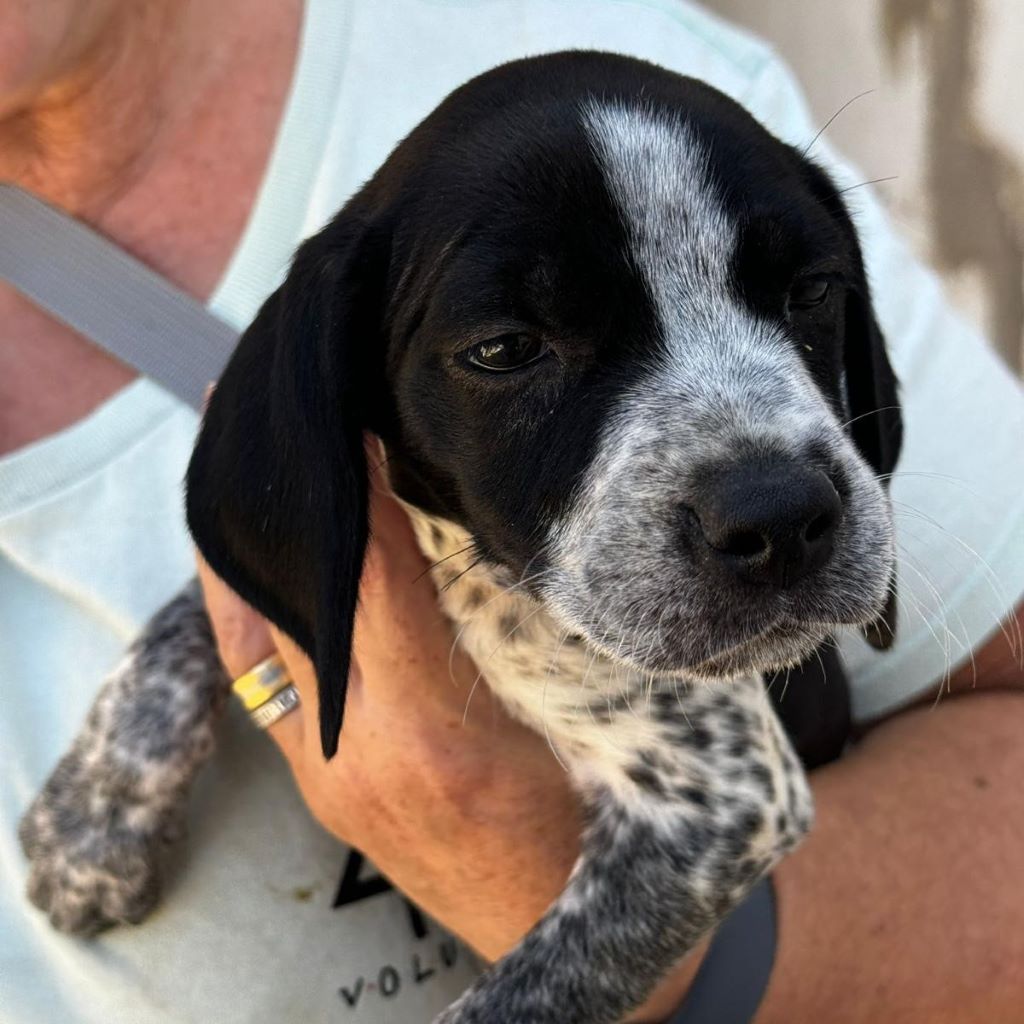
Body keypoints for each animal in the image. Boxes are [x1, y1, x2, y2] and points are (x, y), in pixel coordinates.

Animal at [19, 49, 901, 1024]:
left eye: (812, 291)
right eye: (507, 348)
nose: (781, 517)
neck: (488, 594)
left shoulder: (724, 806)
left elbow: (517, 999)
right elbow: (209, 608)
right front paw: (95, 812)